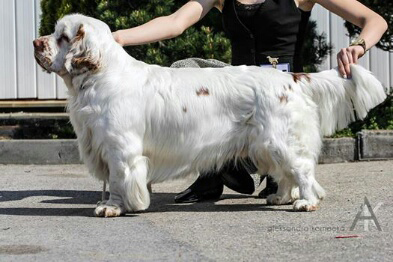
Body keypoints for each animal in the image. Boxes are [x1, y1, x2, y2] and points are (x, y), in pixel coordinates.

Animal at [33, 15, 386, 218]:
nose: (35, 42)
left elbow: (120, 180)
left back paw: (306, 202)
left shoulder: (121, 148)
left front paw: (114, 207)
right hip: (264, 144)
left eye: (62, 37)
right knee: (286, 173)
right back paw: (280, 198)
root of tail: (292, 78)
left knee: (301, 169)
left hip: (278, 139)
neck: (102, 75)